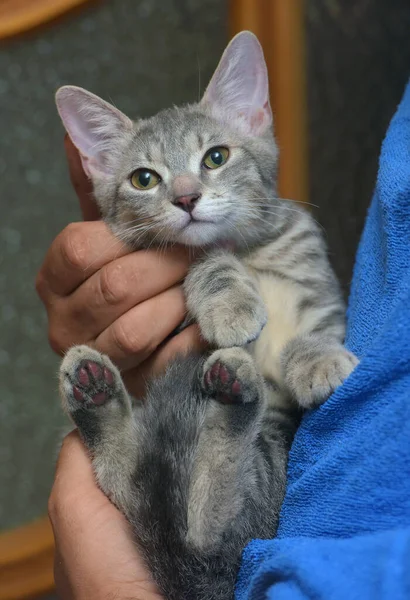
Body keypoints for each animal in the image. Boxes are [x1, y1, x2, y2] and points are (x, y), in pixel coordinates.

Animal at [55, 32, 358, 600]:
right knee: (184, 514)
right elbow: (206, 260)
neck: (250, 252)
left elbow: (317, 330)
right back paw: (105, 392)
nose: (186, 197)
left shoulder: (322, 289)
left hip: (272, 473)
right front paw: (230, 302)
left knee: (208, 523)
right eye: (143, 178)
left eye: (216, 157)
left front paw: (317, 359)